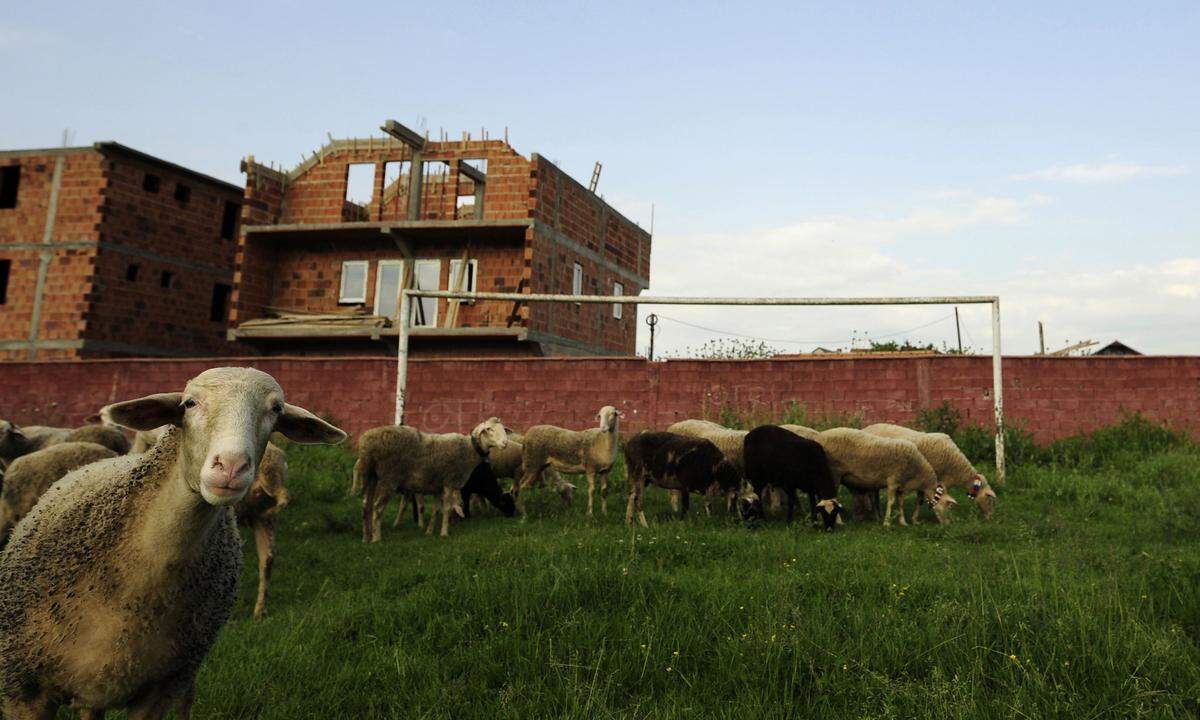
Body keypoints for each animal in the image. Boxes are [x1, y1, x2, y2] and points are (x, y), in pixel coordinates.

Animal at [352, 415, 508, 540]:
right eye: (489, 429)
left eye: (503, 429)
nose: (505, 443)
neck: (469, 450)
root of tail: (367, 443)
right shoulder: (449, 482)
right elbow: (447, 509)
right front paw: (444, 533)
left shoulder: (438, 486)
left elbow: (435, 510)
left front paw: (429, 532)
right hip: (388, 478)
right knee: (377, 508)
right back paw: (376, 538)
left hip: (370, 476)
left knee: (366, 505)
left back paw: (366, 537)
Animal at [816, 424, 955, 525]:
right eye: (948, 506)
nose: (948, 524)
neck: (916, 472)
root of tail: (820, 437)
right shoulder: (893, 480)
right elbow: (891, 502)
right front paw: (887, 523)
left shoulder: (901, 485)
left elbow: (900, 503)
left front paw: (903, 522)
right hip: (834, 474)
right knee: (832, 498)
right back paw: (838, 522)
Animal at [868, 422, 998, 518]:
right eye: (989, 499)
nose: (990, 517)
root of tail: (868, 427)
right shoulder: (928, 477)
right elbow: (920, 499)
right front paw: (916, 518)